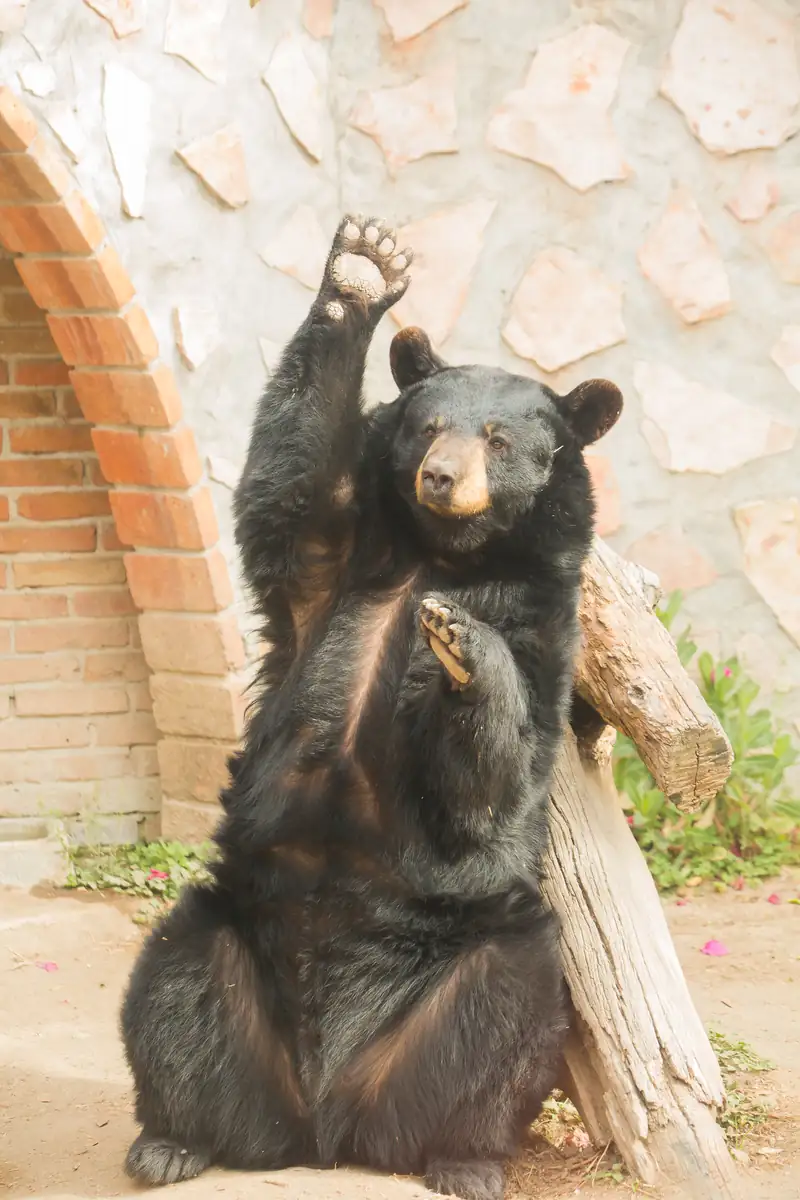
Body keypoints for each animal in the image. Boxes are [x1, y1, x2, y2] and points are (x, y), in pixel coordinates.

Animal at [120, 214, 623, 1200]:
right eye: (429, 427)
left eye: (499, 440)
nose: (440, 476)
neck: (441, 555)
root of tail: (324, 1115)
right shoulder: (332, 564)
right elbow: (291, 490)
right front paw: (362, 268)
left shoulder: (544, 621)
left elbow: (492, 781)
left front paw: (459, 647)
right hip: (228, 925)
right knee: (171, 992)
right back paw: (172, 1140)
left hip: (481, 954)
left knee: (506, 1017)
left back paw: (465, 1158)